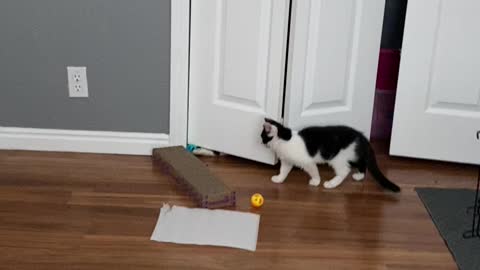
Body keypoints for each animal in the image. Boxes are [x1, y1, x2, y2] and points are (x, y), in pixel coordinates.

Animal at [260, 118, 400, 192]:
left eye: (262, 136)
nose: (260, 142)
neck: (285, 139)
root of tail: (360, 136)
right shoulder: (288, 161)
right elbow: (284, 170)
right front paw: (279, 179)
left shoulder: (307, 161)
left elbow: (314, 170)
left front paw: (316, 181)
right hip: (352, 154)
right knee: (361, 163)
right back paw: (359, 176)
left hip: (337, 158)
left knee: (344, 171)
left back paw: (331, 183)